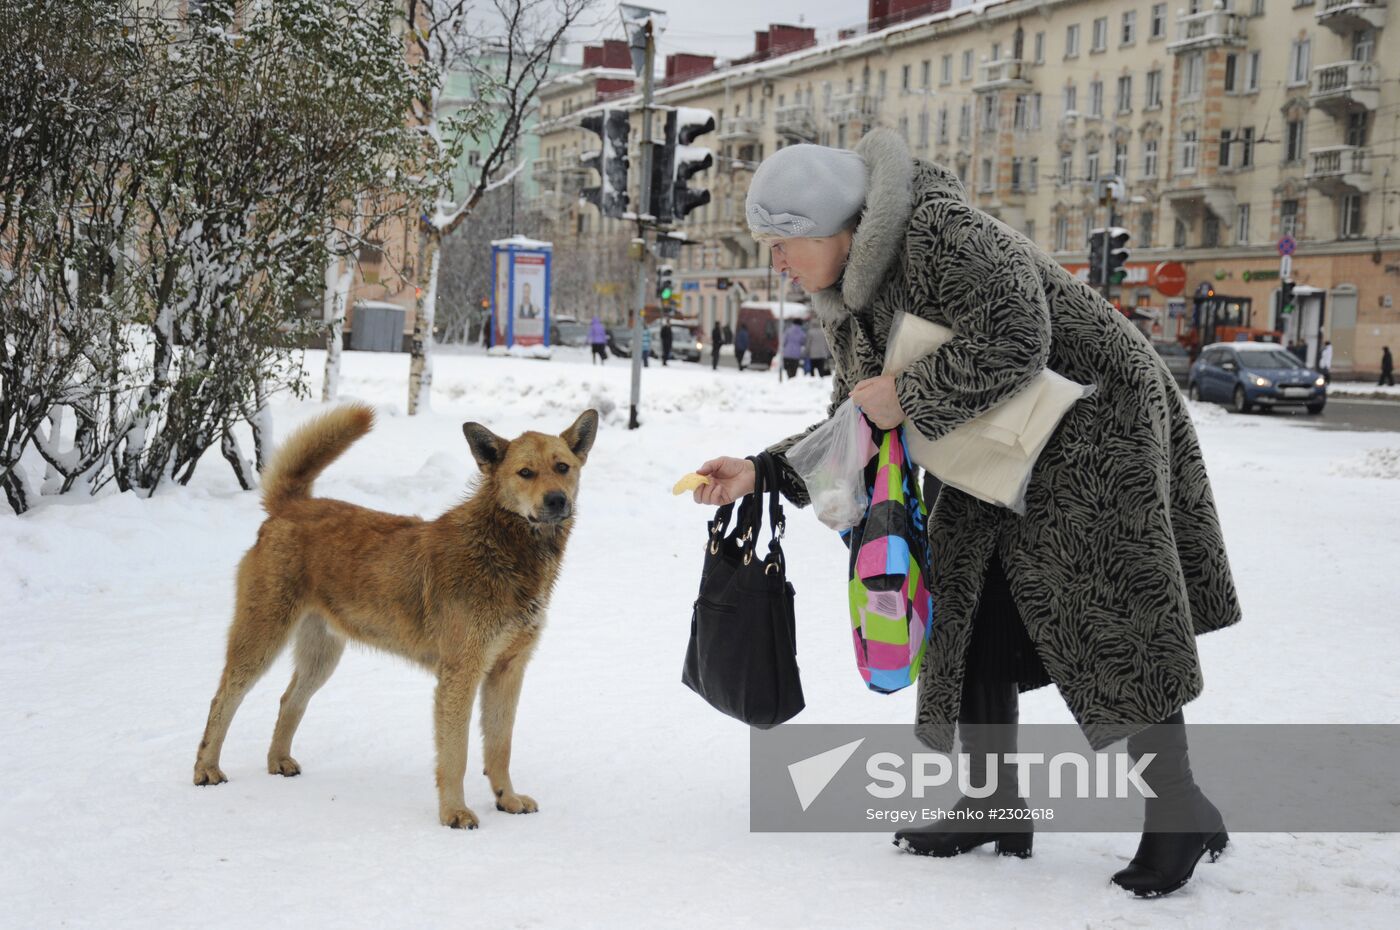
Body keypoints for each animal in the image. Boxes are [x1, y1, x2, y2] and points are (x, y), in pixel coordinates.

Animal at [191, 400, 596, 829]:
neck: (500, 548)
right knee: (222, 700)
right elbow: (456, 755)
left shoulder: (508, 671)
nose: (556, 500)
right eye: (525, 473)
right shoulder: (461, 674)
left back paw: (279, 761)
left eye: (562, 467)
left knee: (289, 701)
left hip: (322, 655)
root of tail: (292, 505)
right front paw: (454, 813)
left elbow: (500, 747)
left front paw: (508, 799)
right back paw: (206, 770)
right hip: (261, 636)